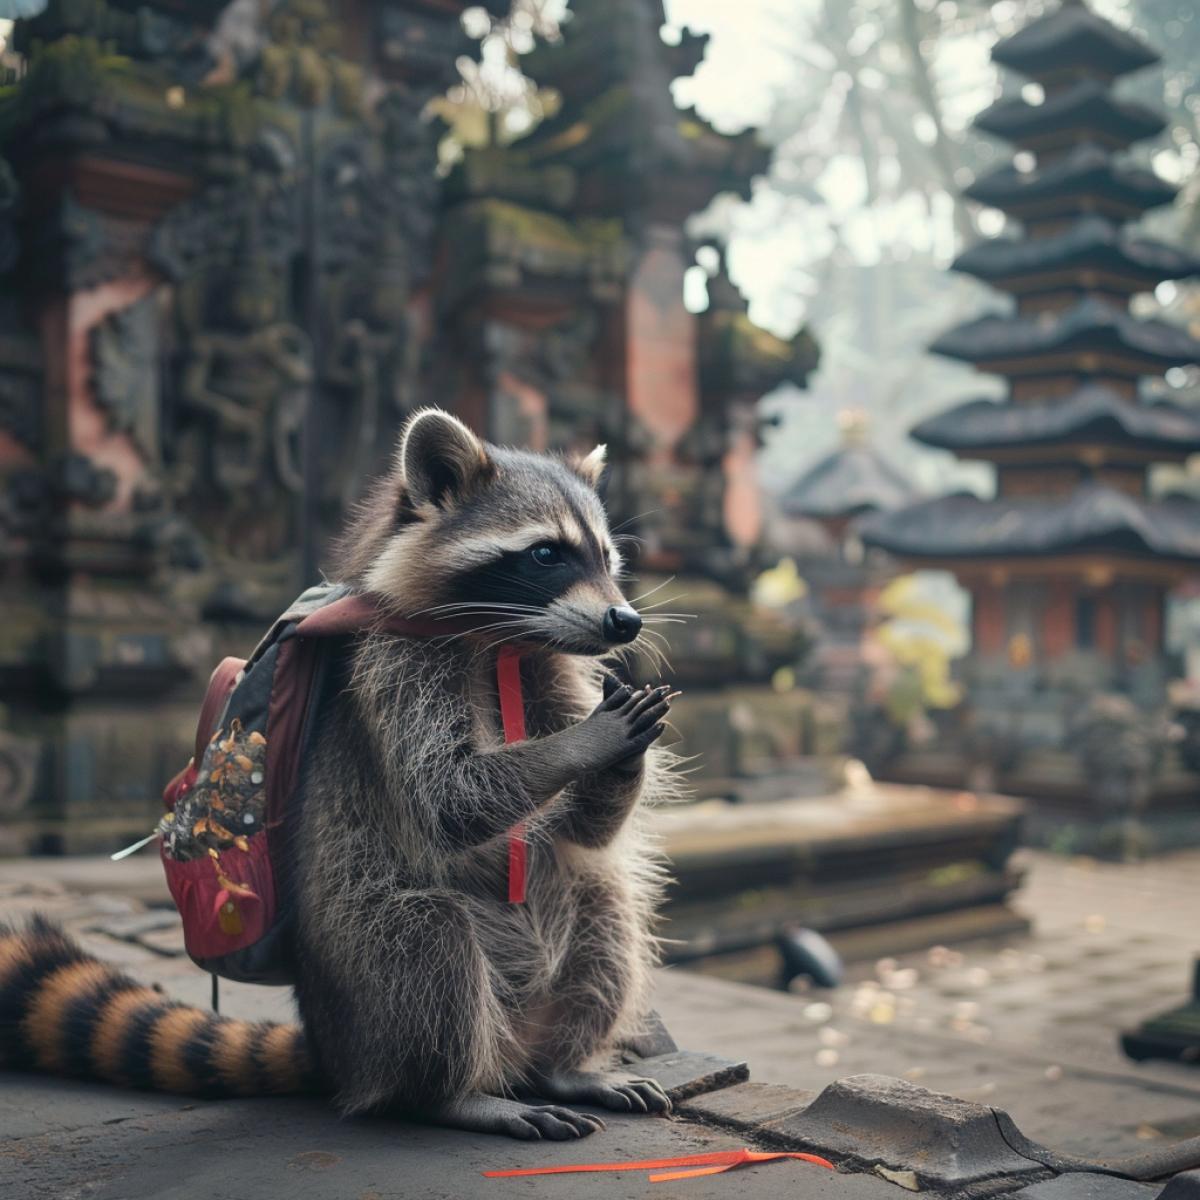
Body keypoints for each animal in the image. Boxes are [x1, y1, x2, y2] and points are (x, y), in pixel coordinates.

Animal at [1, 409, 679, 1142]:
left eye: (608, 559)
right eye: (547, 554)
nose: (625, 620)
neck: (498, 644)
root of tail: (335, 1051)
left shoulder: (543, 670)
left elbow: (586, 831)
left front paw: (622, 759)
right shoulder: (393, 669)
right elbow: (448, 797)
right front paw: (584, 743)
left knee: (605, 906)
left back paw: (563, 1063)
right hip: (361, 965)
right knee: (427, 943)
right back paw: (451, 1094)